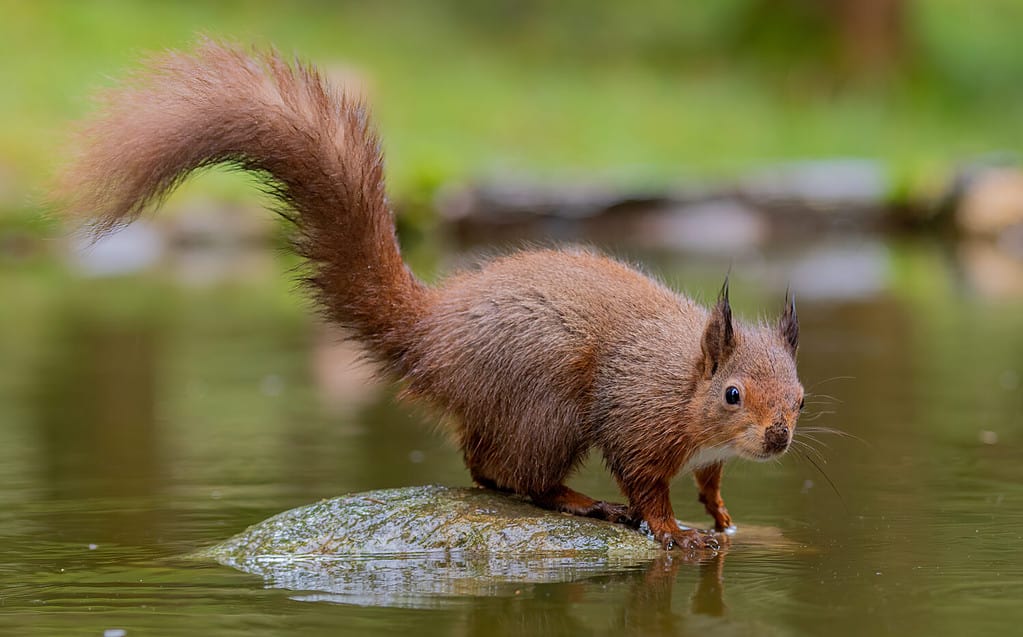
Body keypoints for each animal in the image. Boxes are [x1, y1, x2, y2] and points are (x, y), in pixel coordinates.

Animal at [58, 42, 806, 552]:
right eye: (732, 393)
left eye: (800, 396)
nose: (778, 438)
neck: (685, 382)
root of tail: (431, 332)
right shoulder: (638, 418)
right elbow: (644, 483)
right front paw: (672, 529)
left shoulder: (708, 455)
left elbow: (710, 482)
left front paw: (720, 515)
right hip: (547, 408)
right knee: (514, 476)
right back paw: (581, 500)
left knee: (483, 466)